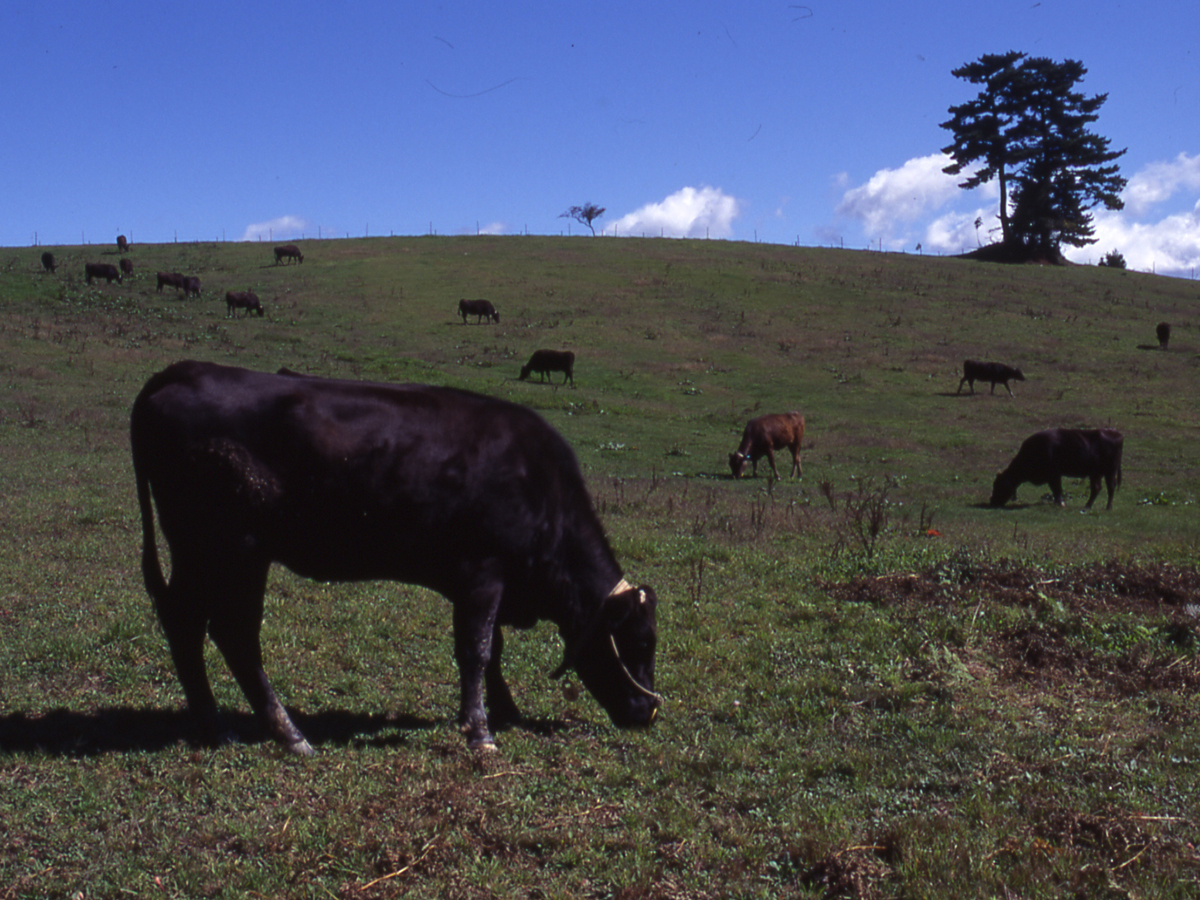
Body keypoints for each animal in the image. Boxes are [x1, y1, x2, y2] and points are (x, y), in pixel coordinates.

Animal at [131, 360, 667, 753]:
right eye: (640, 643)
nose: (648, 713)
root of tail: (186, 369)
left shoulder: (481, 584)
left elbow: (491, 650)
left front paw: (503, 710)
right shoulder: (482, 574)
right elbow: (477, 650)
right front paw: (479, 732)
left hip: (200, 554)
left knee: (185, 622)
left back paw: (214, 723)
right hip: (233, 550)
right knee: (234, 634)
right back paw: (288, 734)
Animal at [988, 432, 1118, 513]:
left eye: (999, 486)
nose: (992, 502)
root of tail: (1116, 434)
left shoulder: (1054, 476)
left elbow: (1057, 490)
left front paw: (1061, 504)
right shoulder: (1053, 477)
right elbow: (1055, 490)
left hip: (1109, 473)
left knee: (1110, 488)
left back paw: (1108, 507)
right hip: (1096, 474)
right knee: (1097, 488)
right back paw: (1088, 506)